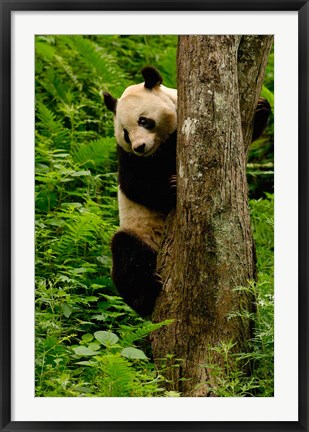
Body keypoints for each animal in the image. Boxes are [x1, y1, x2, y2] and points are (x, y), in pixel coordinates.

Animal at [103, 66, 270, 316]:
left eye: (144, 120)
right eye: (125, 133)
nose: (140, 147)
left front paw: (261, 107)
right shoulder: (128, 156)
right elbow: (134, 184)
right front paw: (171, 189)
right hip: (140, 232)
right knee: (126, 254)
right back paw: (146, 296)